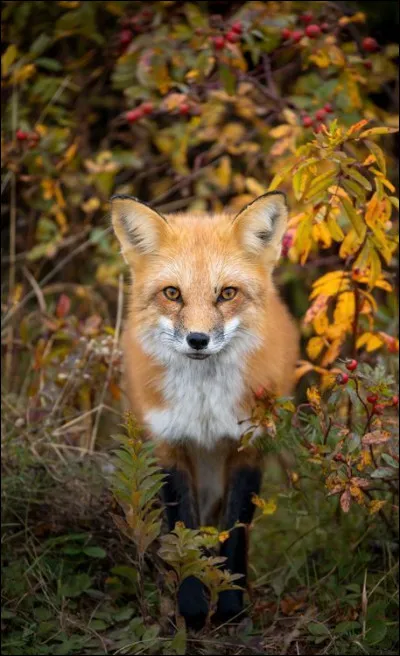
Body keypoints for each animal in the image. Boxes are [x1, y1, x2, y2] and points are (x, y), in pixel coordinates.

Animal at [111, 191, 299, 629]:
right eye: (172, 293)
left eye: (226, 293)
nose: (197, 340)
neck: (205, 409)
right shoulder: (168, 445)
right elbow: (184, 532)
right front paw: (193, 609)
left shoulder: (249, 447)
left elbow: (235, 532)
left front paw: (230, 608)